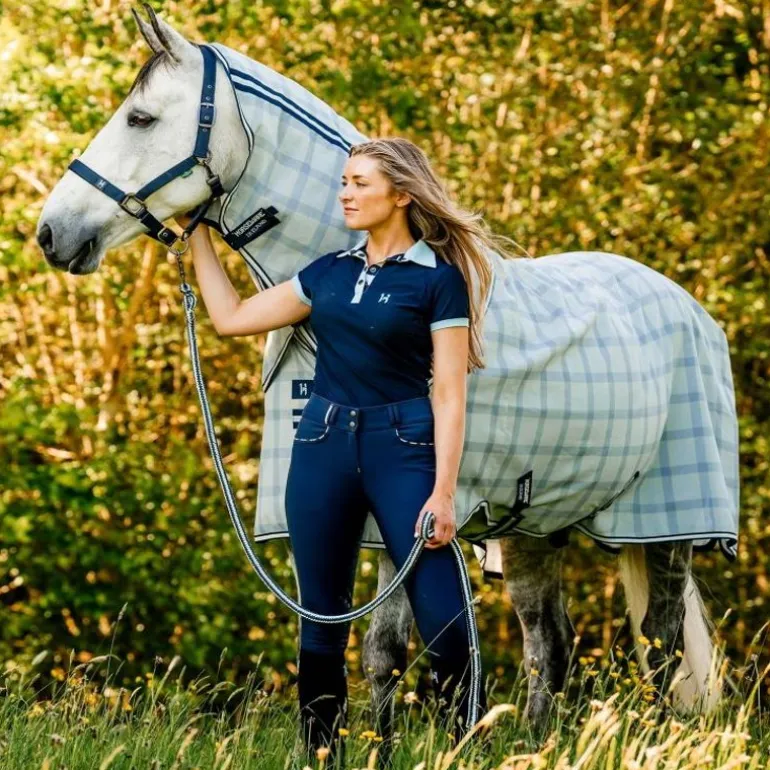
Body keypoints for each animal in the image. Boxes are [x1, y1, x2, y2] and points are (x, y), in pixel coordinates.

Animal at [37, 4, 737, 744]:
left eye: (140, 118)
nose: (50, 233)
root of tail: (689, 308)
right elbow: (375, 652)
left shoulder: (411, 524)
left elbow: (405, 647)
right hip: (535, 527)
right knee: (550, 644)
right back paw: (537, 740)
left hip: (670, 527)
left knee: (661, 644)